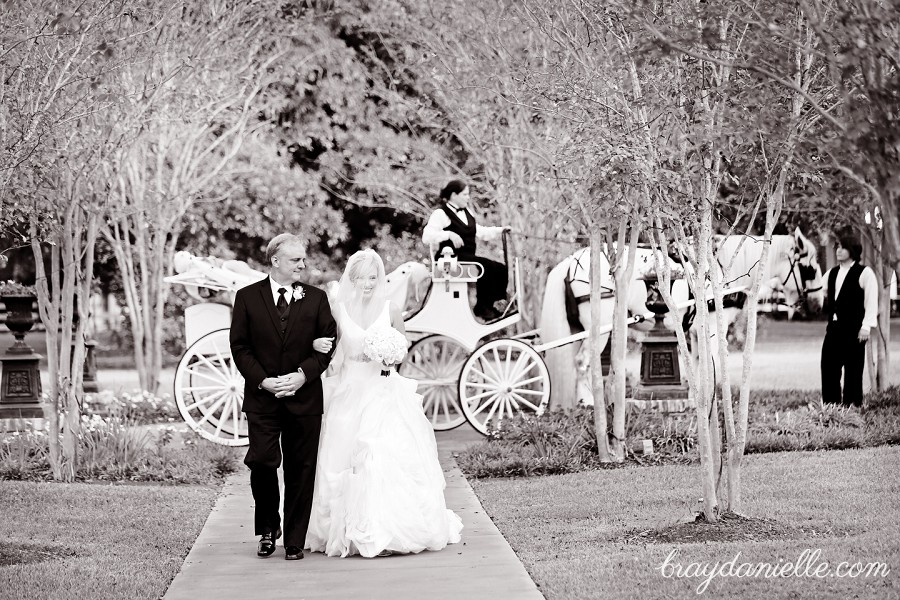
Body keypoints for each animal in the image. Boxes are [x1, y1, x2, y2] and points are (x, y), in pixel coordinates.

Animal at [536, 230, 828, 408]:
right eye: (810, 269)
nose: (818, 304)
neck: (722, 268)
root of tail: (570, 262)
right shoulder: (713, 327)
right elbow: (712, 364)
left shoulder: (698, 331)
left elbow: (700, 365)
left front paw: (701, 399)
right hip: (599, 328)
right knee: (583, 362)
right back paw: (587, 401)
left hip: (579, 329)